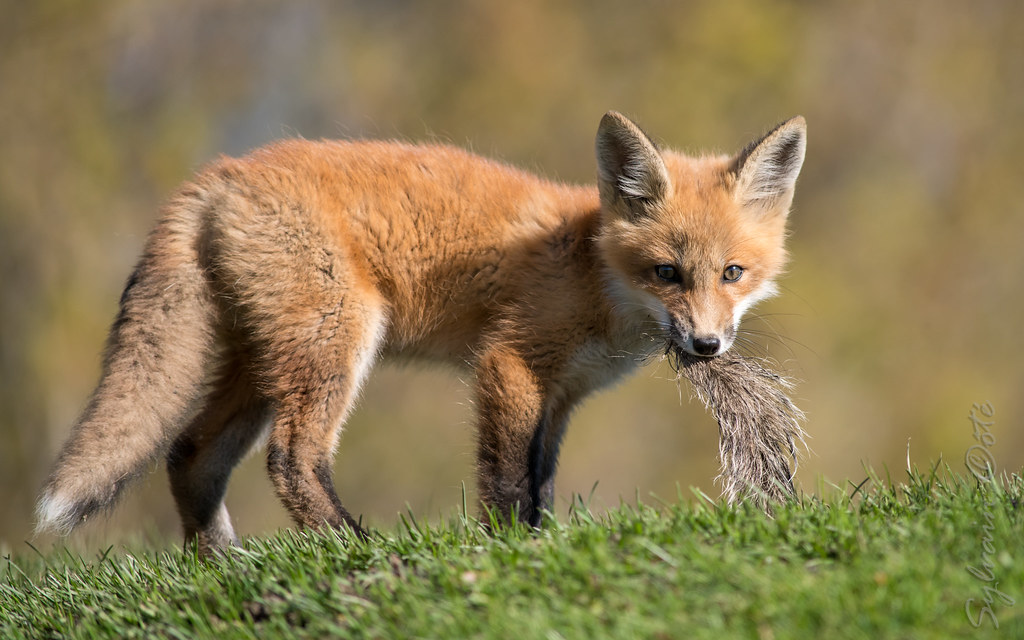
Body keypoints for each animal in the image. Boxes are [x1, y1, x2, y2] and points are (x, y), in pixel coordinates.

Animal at [36, 111, 806, 556]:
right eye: (667, 272)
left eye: (733, 273)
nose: (706, 347)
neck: (591, 269)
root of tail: (220, 174)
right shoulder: (509, 362)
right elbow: (507, 479)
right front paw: (508, 554)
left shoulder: (560, 395)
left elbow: (542, 480)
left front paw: (538, 542)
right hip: (334, 348)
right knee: (290, 460)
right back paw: (359, 552)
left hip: (265, 366)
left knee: (191, 455)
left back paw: (223, 568)